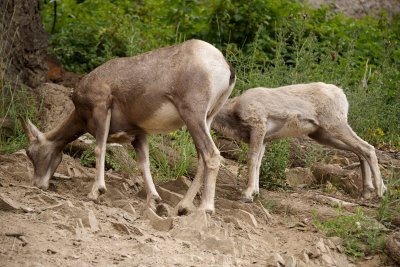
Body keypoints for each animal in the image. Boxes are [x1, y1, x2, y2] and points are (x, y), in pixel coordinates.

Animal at [21, 39, 234, 215]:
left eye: (30, 152)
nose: (38, 184)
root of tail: (225, 66)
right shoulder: (139, 134)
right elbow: (143, 164)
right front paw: (153, 201)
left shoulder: (101, 109)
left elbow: (99, 148)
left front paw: (95, 192)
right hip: (207, 119)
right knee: (201, 159)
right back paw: (181, 207)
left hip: (193, 115)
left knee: (211, 154)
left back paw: (205, 208)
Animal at [214, 82, 386, 202]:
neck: (233, 112)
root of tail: (340, 94)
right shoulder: (264, 139)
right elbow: (258, 163)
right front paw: (255, 192)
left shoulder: (258, 127)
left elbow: (252, 160)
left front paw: (247, 195)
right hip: (323, 135)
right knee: (360, 150)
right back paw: (366, 192)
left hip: (336, 126)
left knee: (367, 148)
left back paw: (380, 192)